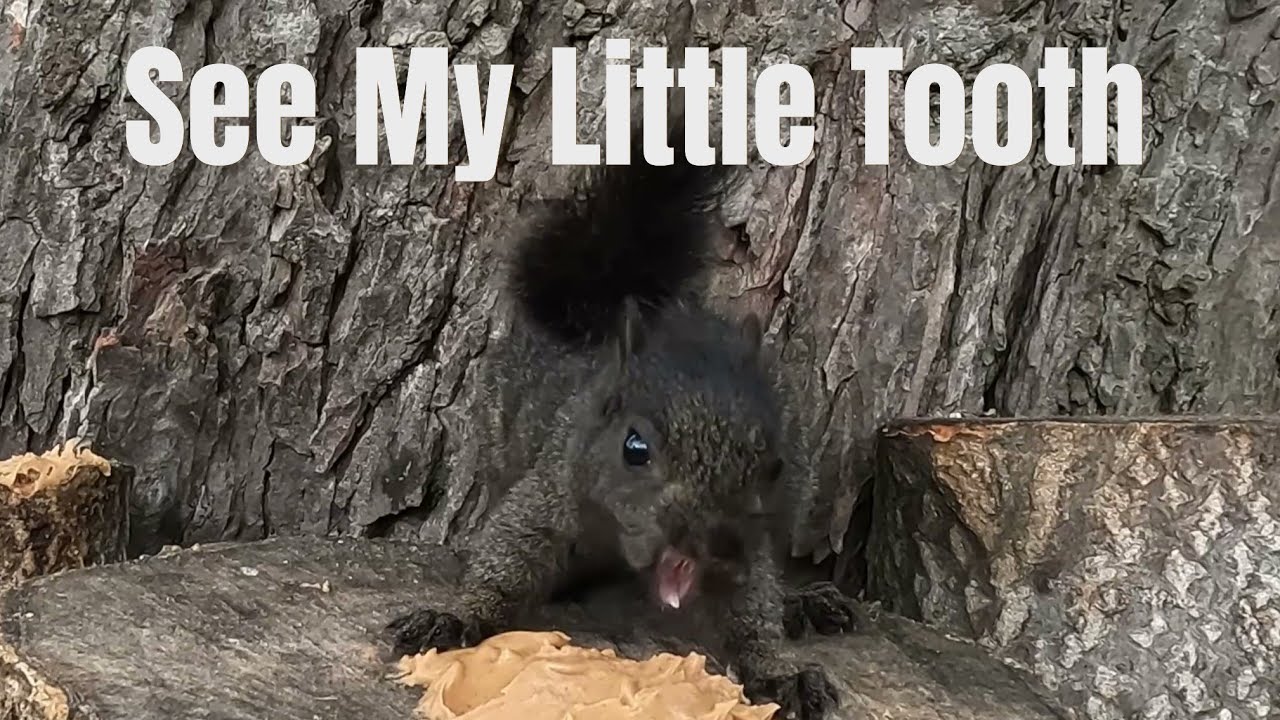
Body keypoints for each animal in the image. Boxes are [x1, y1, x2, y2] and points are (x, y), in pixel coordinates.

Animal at [386, 127, 852, 720]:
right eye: (635, 448)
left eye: (773, 466)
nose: (715, 543)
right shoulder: (553, 486)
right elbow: (508, 554)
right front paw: (458, 616)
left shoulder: (751, 541)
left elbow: (753, 608)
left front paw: (779, 671)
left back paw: (802, 602)